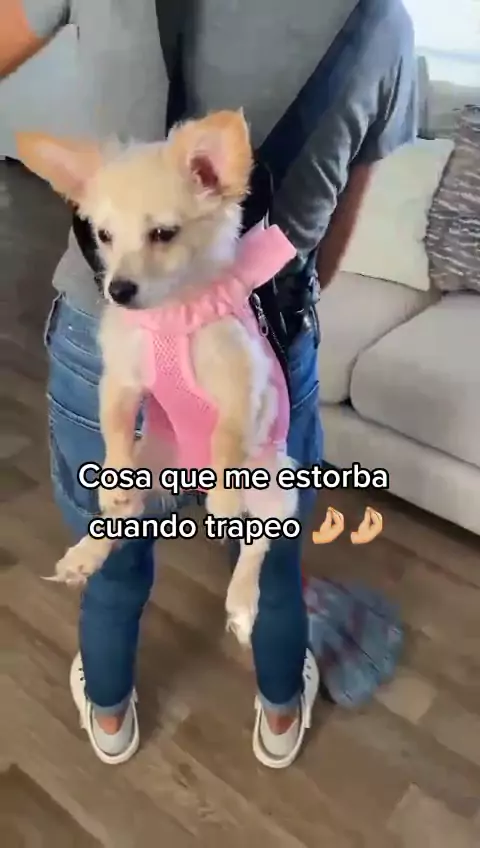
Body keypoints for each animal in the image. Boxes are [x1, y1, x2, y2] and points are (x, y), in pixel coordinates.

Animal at [17, 110, 299, 645]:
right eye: (103, 236)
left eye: (164, 234)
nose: (119, 290)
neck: (172, 313)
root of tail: (185, 478)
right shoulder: (122, 381)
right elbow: (114, 426)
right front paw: (111, 474)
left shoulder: (241, 383)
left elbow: (227, 437)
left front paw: (224, 496)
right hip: (149, 464)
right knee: (117, 519)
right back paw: (86, 553)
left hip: (275, 488)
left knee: (257, 544)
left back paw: (242, 601)